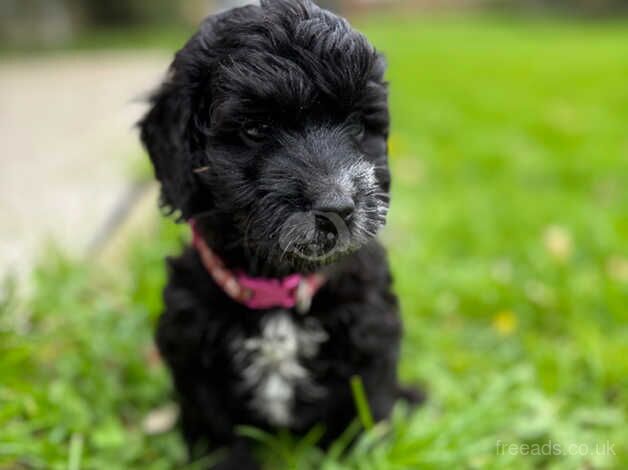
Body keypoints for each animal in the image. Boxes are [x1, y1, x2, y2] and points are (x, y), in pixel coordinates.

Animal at [140, 1, 420, 468]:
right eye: (255, 128)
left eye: (358, 125)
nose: (337, 208)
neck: (276, 291)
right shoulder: (194, 354)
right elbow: (218, 433)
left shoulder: (371, 339)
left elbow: (364, 416)